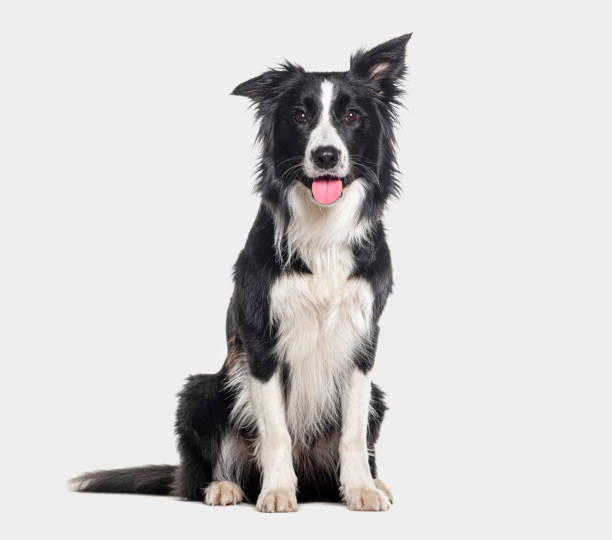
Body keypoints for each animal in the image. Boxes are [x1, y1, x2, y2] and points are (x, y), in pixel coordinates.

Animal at [75, 32, 412, 510]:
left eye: (351, 116)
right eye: (300, 116)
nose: (326, 156)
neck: (323, 234)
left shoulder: (363, 337)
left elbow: (352, 431)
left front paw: (361, 489)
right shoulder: (260, 337)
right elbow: (275, 431)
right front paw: (277, 490)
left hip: (377, 397)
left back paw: (368, 483)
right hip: (201, 391)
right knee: (201, 470)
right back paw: (224, 486)